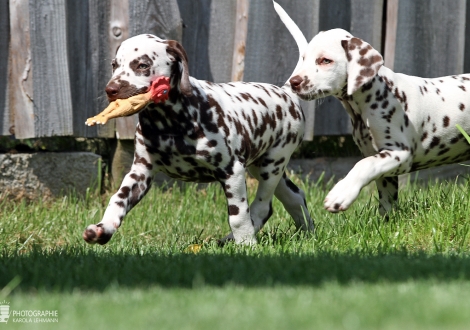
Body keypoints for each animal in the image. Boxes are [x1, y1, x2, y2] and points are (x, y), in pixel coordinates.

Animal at [82, 34, 314, 245]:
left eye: (142, 65)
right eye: (114, 65)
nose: (111, 90)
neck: (169, 124)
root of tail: (285, 92)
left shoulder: (232, 172)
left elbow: (238, 215)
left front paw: (246, 245)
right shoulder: (141, 172)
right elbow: (118, 199)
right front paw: (103, 229)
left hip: (271, 165)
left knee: (261, 207)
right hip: (263, 167)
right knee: (294, 196)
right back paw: (307, 232)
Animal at [274, 1, 470, 214]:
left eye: (325, 60)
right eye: (304, 58)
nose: (294, 82)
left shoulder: (400, 154)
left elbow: (363, 165)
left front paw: (341, 194)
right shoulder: (383, 165)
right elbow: (386, 201)